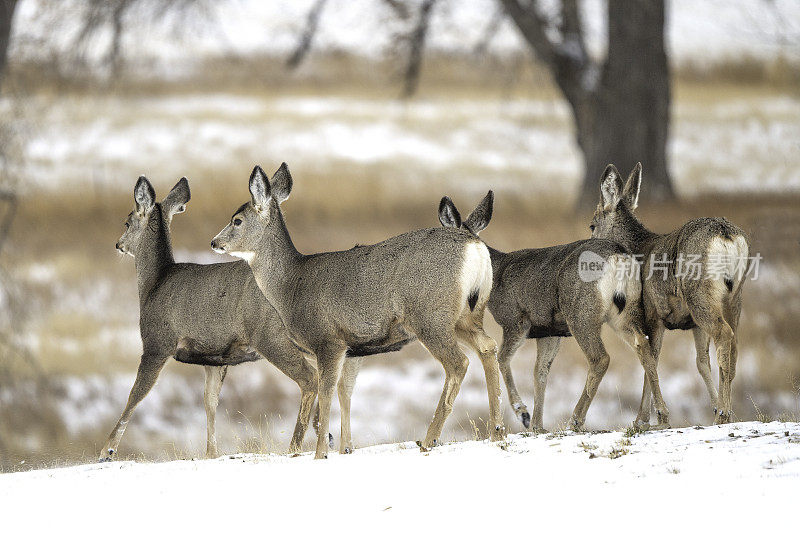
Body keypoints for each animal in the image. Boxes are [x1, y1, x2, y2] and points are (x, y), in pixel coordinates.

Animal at [101, 177, 320, 460]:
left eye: (127, 222)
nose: (118, 244)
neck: (154, 284)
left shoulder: (157, 342)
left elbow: (136, 393)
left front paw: (107, 450)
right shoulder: (214, 357)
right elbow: (210, 402)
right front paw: (211, 452)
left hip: (270, 336)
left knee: (310, 378)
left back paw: (297, 445)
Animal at [209, 163, 504, 458]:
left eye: (237, 220)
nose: (214, 242)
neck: (291, 286)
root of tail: (474, 246)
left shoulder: (328, 340)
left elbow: (326, 393)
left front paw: (320, 453)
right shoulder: (351, 348)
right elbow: (343, 392)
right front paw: (343, 449)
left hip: (429, 315)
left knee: (458, 363)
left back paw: (430, 439)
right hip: (467, 314)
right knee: (487, 347)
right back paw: (496, 431)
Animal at [434, 191, 672, 432]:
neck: (496, 274)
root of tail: (618, 256)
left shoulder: (516, 320)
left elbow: (502, 359)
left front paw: (523, 413)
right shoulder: (549, 330)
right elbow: (540, 372)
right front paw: (537, 425)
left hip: (580, 313)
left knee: (600, 358)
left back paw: (575, 419)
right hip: (625, 311)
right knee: (644, 347)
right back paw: (659, 416)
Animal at [588, 163, 752, 424]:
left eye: (592, 225)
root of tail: (726, 235)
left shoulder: (653, 313)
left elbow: (651, 361)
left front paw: (645, 418)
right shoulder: (692, 324)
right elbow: (701, 362)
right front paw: (713, 406)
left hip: (699, 293)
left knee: (724, 334)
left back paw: (724, 414)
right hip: (734, 296)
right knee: (733, 343)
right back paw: (726, 412)